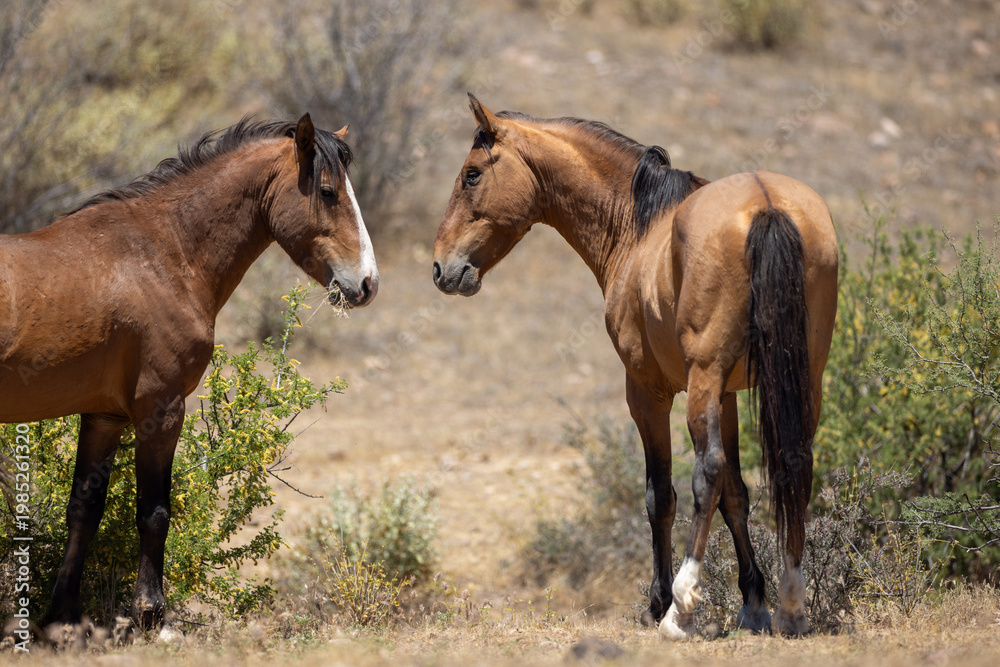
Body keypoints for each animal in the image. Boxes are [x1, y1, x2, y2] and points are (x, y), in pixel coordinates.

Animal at [0, 114, 378, 629]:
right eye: (327, 191)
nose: (367, 283)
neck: (162, 254)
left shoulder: (104, 417)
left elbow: (83, 510)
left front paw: (60, 620)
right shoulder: (160, 410)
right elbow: (154, 512)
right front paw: (150, 614)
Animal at [432, 95, 838, 639]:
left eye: (472, 174)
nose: (441, 268)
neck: (639, 228)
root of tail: (766, 205)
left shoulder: (648, 393)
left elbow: (661, 495)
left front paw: (659, 600)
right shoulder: (729, 393)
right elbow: (737, 493)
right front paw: (753, 603)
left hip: (703, 380)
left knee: (706, 474)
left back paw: (680, 610)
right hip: (802, 376)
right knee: (795, 462)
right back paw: (793, 605)